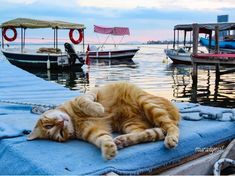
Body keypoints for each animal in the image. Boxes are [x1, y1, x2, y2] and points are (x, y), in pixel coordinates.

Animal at [28, 82, 181, 160]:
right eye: (60, 134)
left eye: (49, 125)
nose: (61, 123)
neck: (74, 119)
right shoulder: (94, 131)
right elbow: (103, 139)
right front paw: (109, 149)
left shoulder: (90, 94)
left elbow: (84, 101)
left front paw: (98, 109)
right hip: (130, 124)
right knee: (150, 133)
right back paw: (123, 141)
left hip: (146, 103)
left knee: (171, 127)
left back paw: (170, 138)